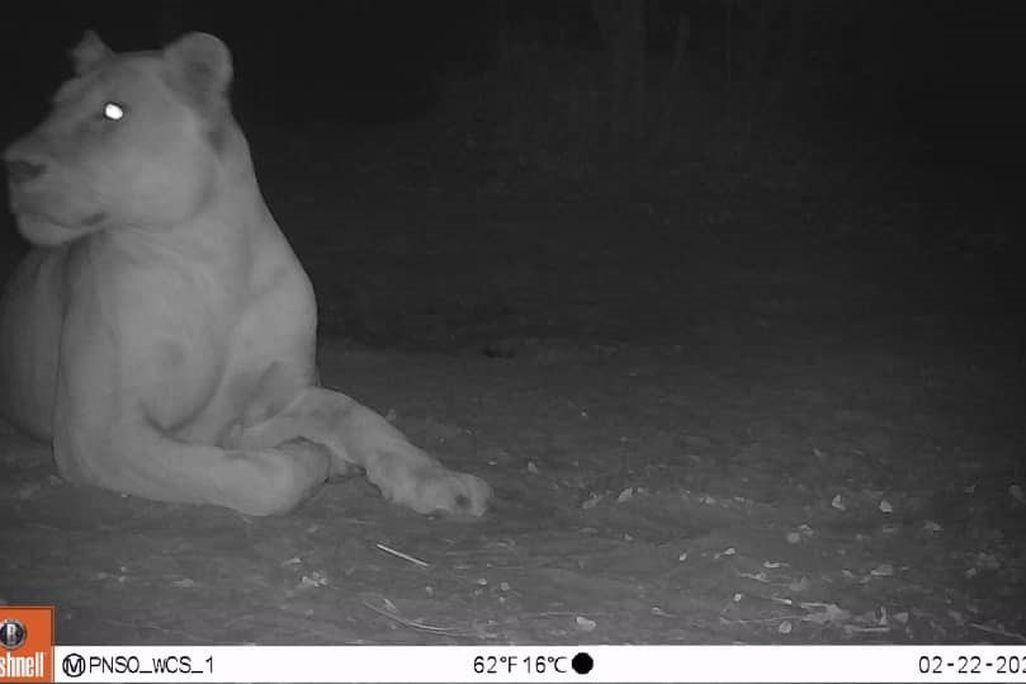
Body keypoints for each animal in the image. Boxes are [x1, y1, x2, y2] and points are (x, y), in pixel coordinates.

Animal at [0, 31, 491, 517]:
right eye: (55, 105)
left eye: (112, 111)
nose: (13, 164)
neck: (214, 259)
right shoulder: (99, 436)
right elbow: (262, 475)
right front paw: (313, 456)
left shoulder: (276, 395)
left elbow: (352, 413)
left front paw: (442, 483)